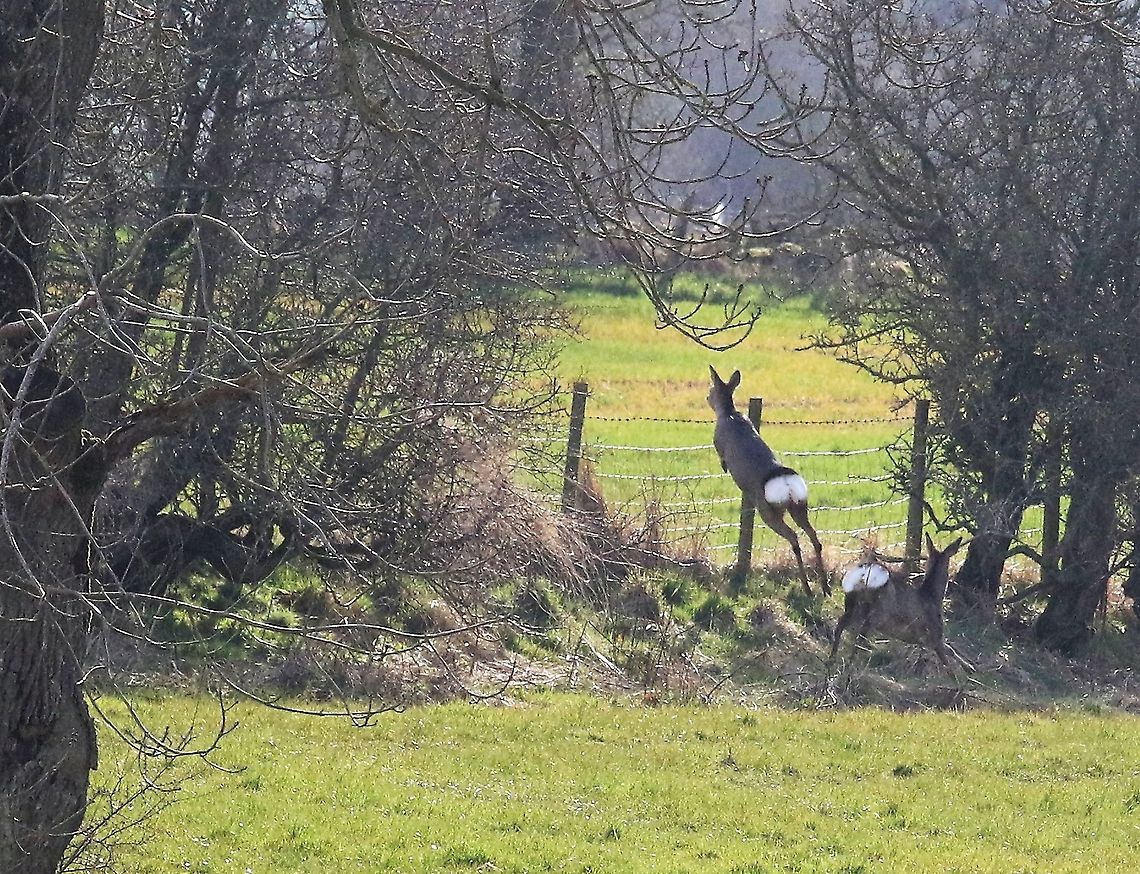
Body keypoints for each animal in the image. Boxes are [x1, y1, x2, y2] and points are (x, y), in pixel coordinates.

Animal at [707, 366, 828, 596]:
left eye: (711, 390)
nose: (707, 398)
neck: (729, 414)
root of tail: (787, 484)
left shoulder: (718, 441)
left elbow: (721, 454)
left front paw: (724, 467)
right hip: (799, 505)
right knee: (814, 537)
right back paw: (824, 588)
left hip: (769, 510)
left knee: (794, 537)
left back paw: (808, 588)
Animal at [829, 534, 974, 673]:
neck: (932, 596)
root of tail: (863, 574)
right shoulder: (934, 633)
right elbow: (946, 661)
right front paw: (958, 676)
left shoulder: (926, 639)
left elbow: (950, 649)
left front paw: (970, 668)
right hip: (878, 612)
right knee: (859, 637)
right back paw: (849, 666)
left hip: (852, 604)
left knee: (840, 627)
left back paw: (832, 659)